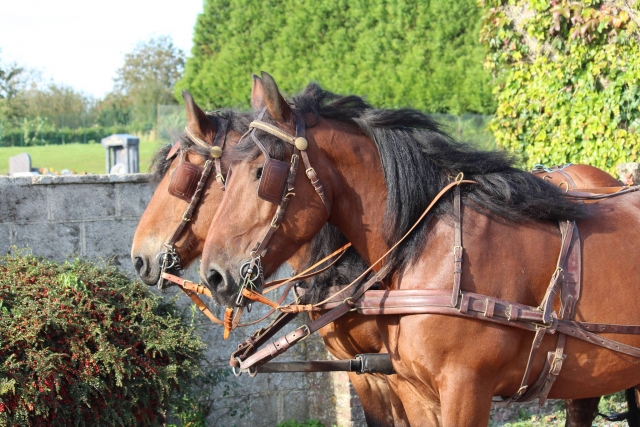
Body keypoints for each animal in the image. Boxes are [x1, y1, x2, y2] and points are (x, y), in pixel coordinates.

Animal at [200, 72, 640, 426]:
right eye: (226, 174)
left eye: (261, 172)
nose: (213, 275)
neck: (431, 248)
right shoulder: (411, 389)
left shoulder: (466, 389)